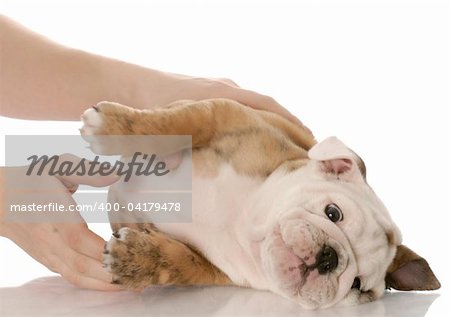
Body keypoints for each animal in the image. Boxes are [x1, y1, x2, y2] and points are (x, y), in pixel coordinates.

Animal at [80, 99, 440, 308]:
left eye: (356, 285)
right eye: (333, 213)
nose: (329, 258)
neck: (246, 220)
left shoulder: (211, 268)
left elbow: (178, 262)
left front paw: (136, 259)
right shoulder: (223, 113)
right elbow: (173, 124)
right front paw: (112, 126)